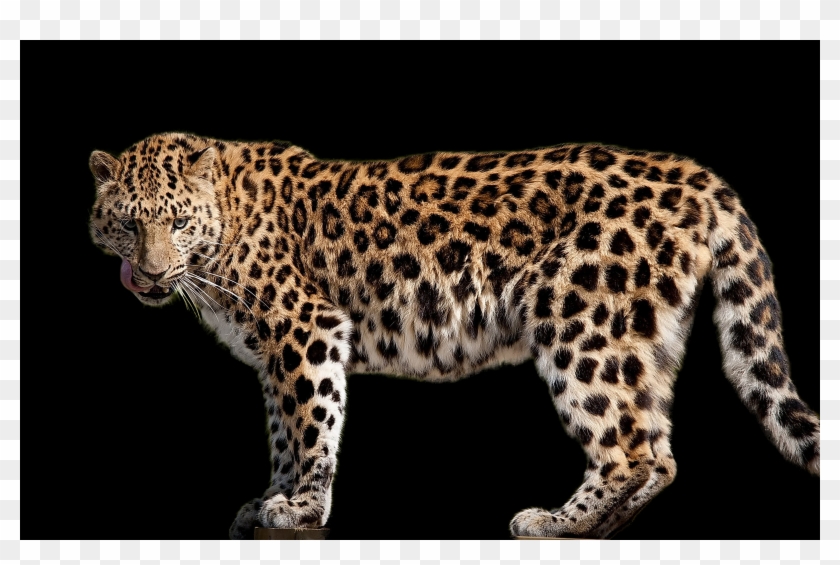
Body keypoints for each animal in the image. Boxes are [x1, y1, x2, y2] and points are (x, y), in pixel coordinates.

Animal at [88, 133, 820, 540]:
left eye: (178, 223)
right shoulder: (273, 353)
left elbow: (311, 424)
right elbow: (281, 431)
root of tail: (700, 176)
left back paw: (554, 522)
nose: (148, 273)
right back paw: (598, 526)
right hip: (643, 337)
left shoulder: (307, 328)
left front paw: (301, 508)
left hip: (581, 324)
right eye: (128, 224)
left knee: (630, 449)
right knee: (660, 450)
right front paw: (271, 497)